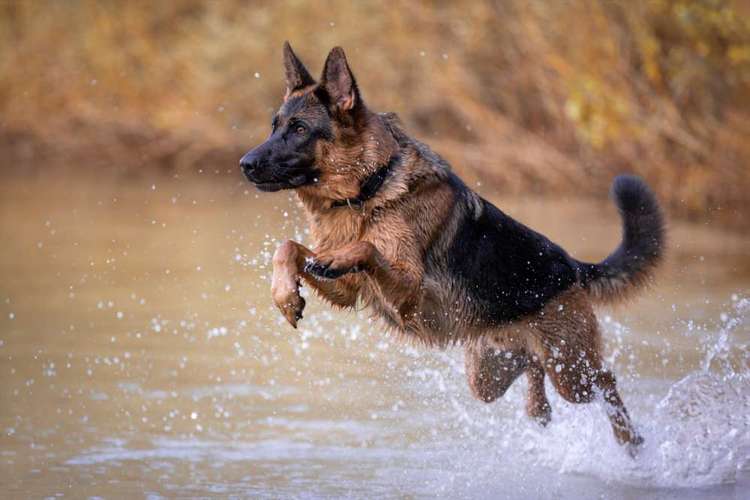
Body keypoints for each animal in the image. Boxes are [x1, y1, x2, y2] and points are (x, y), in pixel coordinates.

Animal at [239, 44, 664, 454]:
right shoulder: (345, 290)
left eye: (299, 129)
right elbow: (288, 248)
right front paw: (285, 296)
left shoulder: (409, 292)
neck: (368, 190)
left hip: (571, 372)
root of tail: (571, 265)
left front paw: (336, 258)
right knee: (534, 368)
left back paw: (630, 440)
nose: (244, 163)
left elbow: (366, 248)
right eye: (274, 126)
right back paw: (539, 408)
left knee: (605, 380)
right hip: (488, 377)